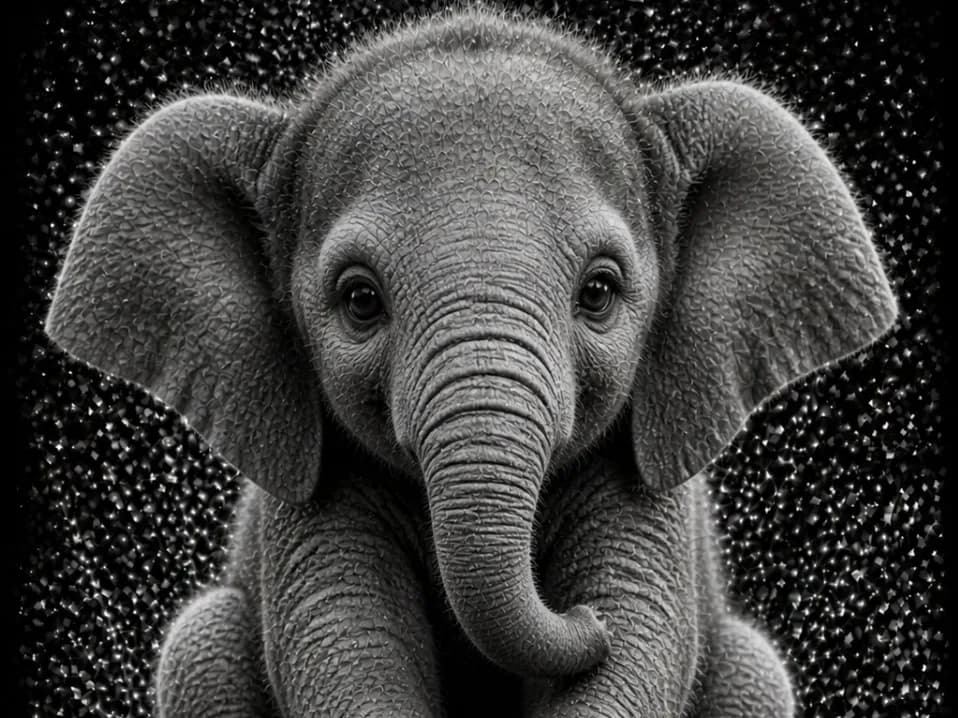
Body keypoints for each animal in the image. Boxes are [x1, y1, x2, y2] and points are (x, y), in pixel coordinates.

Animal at [44, 6, 899, 717]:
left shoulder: (649, 478)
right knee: (202, 644)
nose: (577, 616)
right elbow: (345, 648)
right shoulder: (309, 483)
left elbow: (639, 645)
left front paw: (605, 619)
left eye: (599, 292)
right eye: (359, 301)